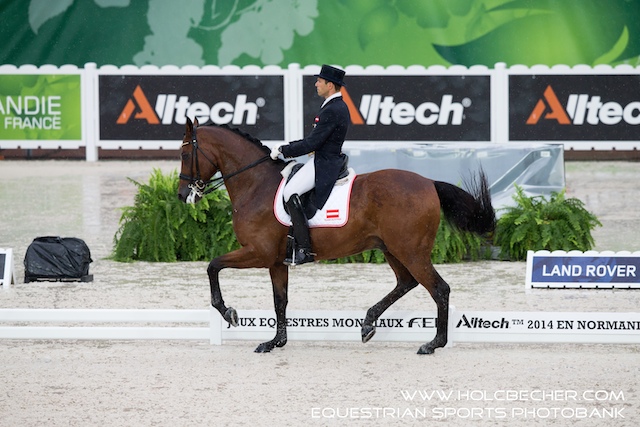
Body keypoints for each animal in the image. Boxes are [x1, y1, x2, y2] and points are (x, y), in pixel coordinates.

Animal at [178, 117, 498, 354]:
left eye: (184, 154)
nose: (182, 195)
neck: (256, 185)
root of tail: (429, 182)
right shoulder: (277, 261)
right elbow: (280, 300)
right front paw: (275, 342)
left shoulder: (259, 252)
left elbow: (213, 266)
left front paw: (228, 312)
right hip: (392, 249)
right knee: (406, 282)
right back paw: (368, 324)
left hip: (411, 251)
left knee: (439, 289)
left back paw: (433, 344)